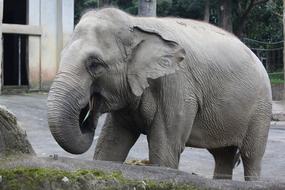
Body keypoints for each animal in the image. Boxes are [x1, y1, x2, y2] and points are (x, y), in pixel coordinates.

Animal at [47, 7, 270, 181]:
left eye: (95, 64)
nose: (90, 110)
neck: (136, 24)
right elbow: (111, 143)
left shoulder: (176, 86)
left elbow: (165, 148)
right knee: (223, 155)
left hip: (261, 109)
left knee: (251, 156)